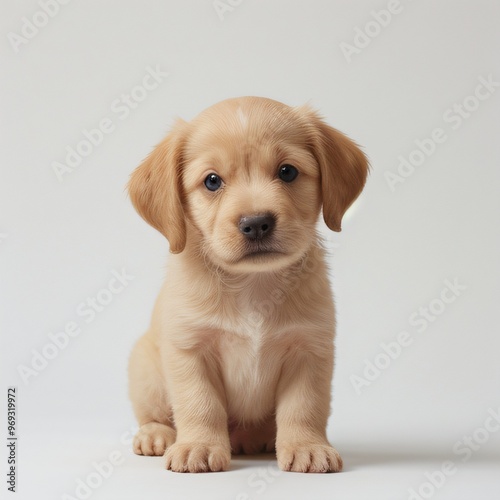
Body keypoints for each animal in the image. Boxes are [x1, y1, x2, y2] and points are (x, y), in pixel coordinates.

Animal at [127, 94, 370, 472]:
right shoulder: (190, 349)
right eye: (212, 181)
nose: (256, 223)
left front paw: (307, 446)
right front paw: (198, 446)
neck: (253, 285)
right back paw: (157, 435)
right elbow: (200, 404)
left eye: (287, 171)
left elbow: (304, 407)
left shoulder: (309, 351)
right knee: (156, 414)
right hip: (145, 367)